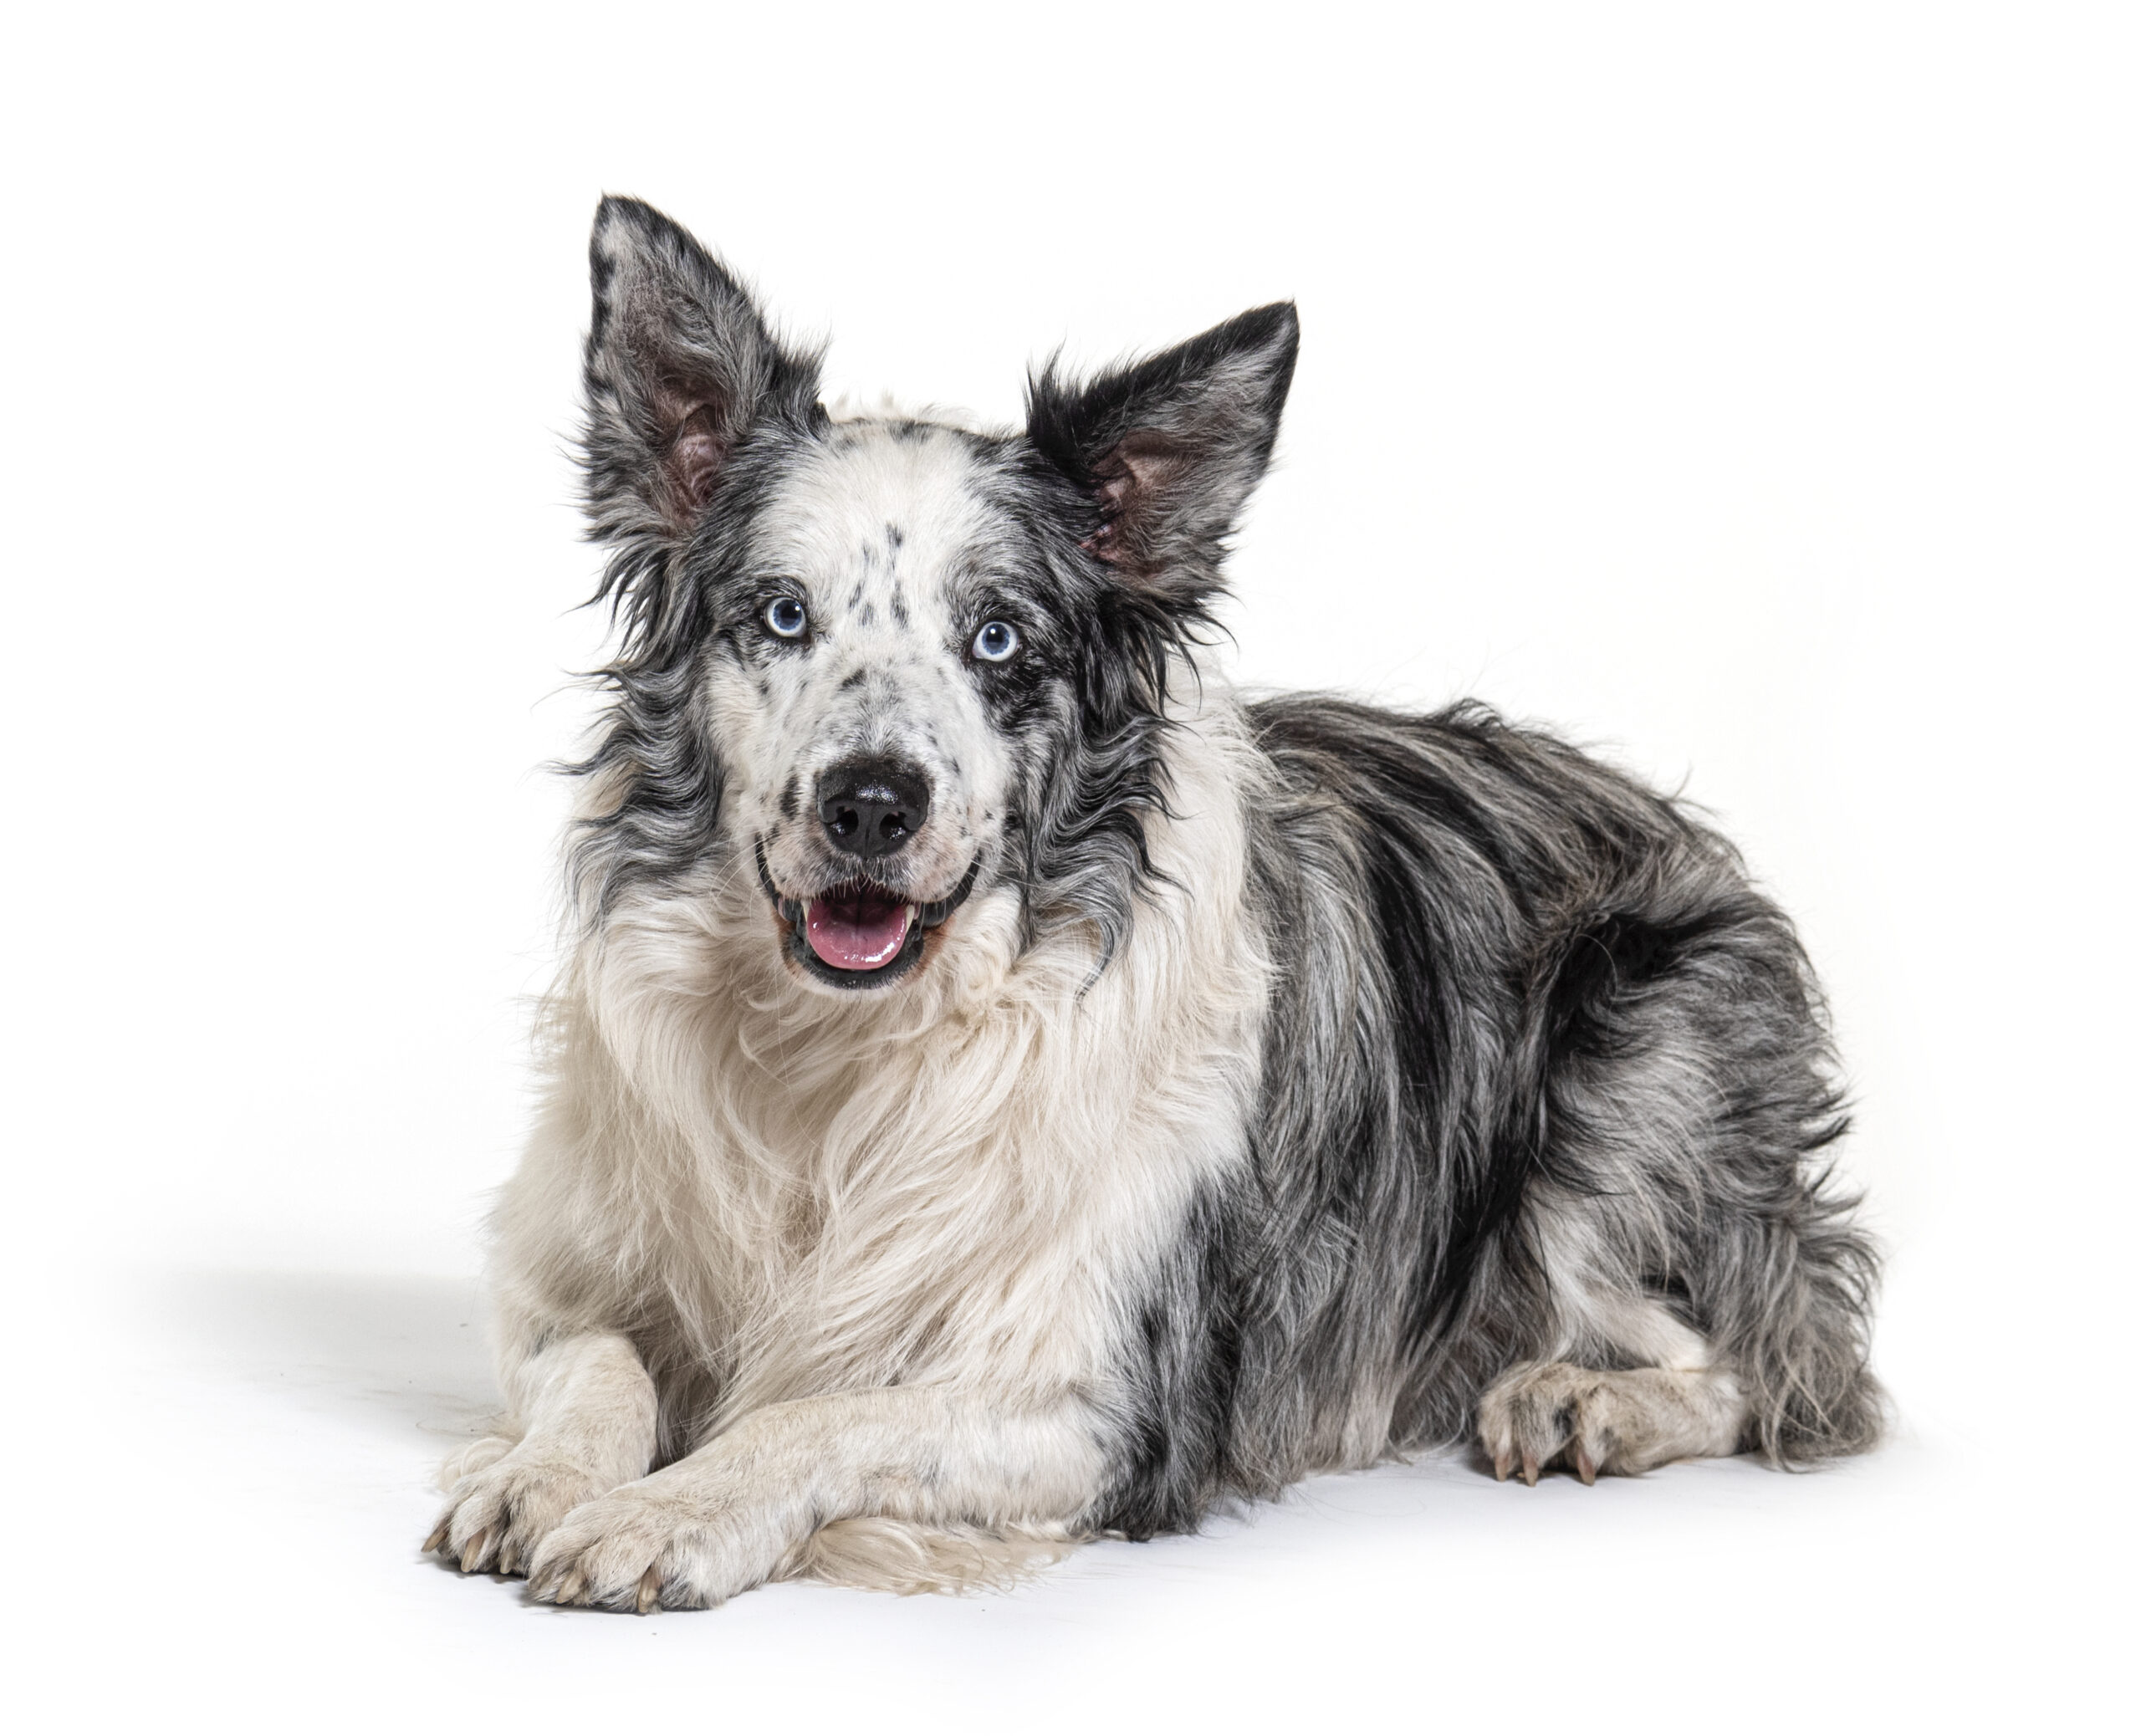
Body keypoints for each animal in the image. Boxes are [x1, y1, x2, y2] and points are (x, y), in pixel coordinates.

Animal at [426, 200, 1883, 1618]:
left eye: (999, 641)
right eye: (781, 617)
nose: (871, 804)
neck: (855, 1052)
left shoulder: (1107, 1400)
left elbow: (813, 1419)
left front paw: (666, 1514)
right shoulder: (563, 1261)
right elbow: (597, 1359)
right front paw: (544, 1477)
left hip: (1620, 1090)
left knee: (1794, 1362)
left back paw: (1588, 1401)